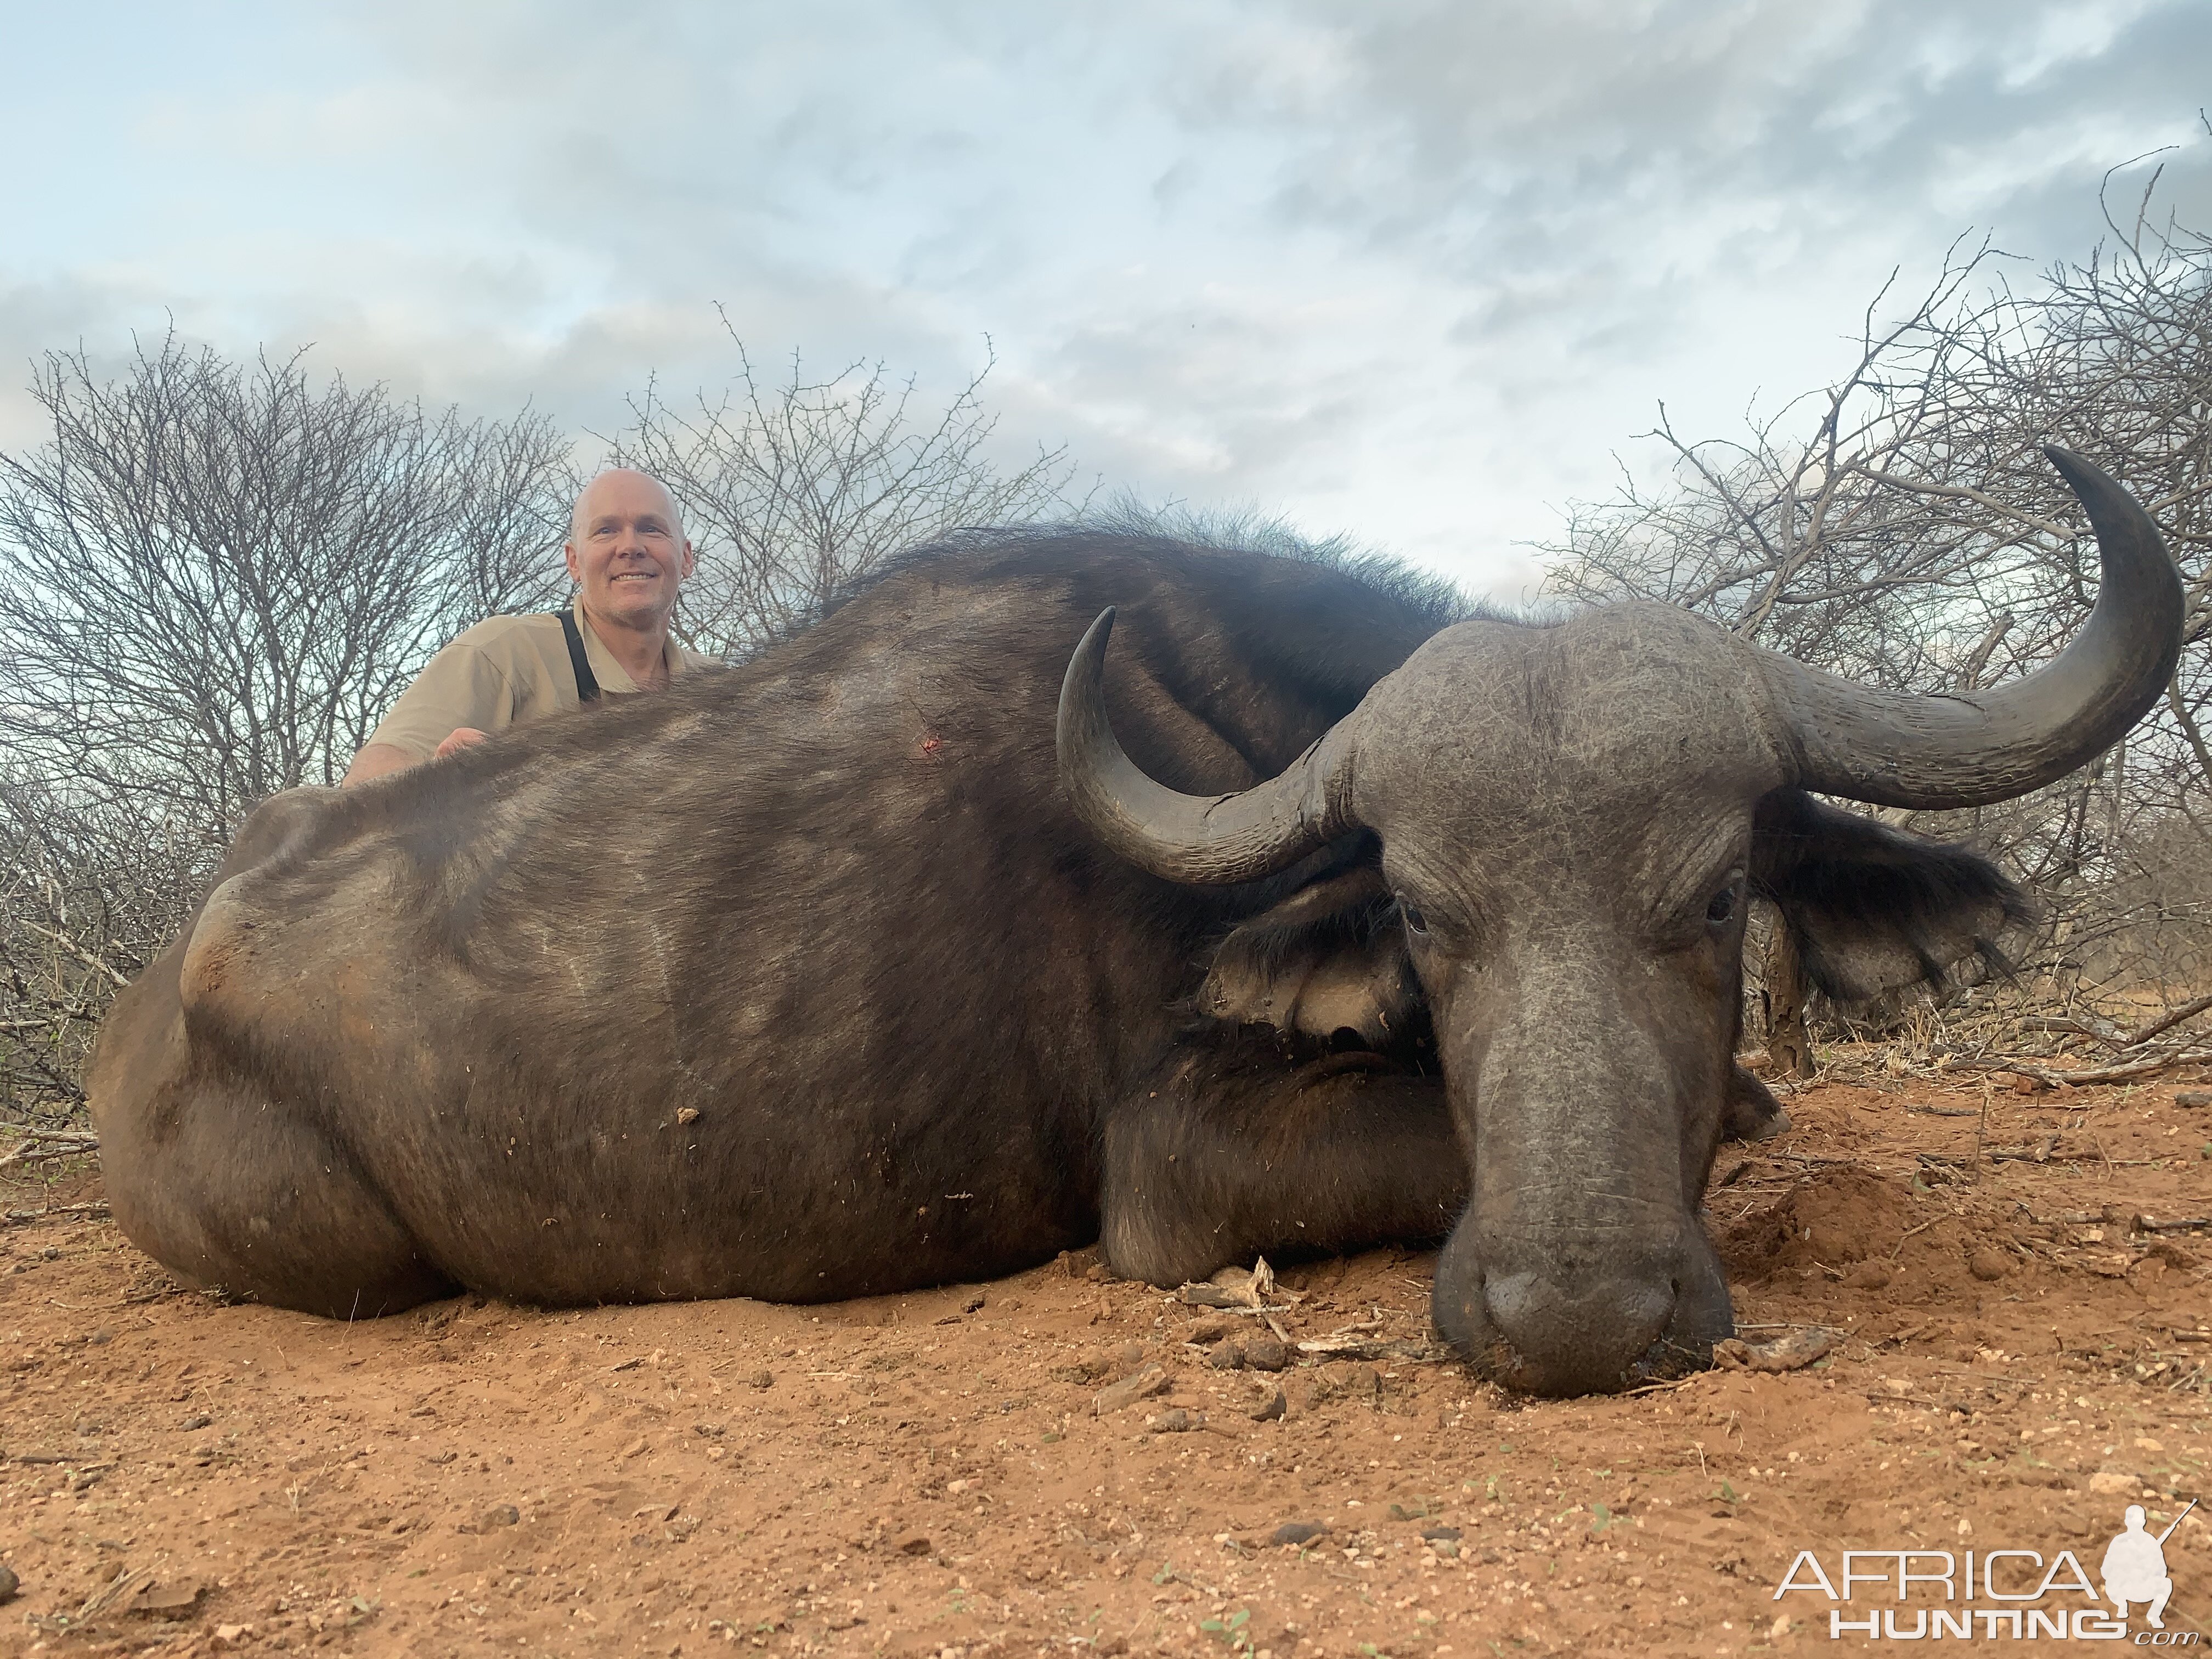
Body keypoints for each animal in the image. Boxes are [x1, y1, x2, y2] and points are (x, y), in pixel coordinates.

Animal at [86, 449, 2176, 1398]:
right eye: (1425, 914)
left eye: (1721, 889)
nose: (1573, 1317)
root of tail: (148, 1014)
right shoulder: (1174, 1172)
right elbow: (1737, 1121)